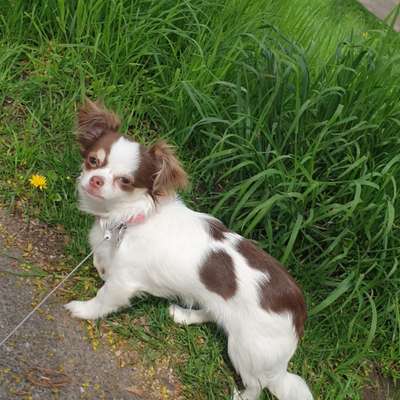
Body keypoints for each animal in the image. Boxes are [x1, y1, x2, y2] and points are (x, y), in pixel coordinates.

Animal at [65, 100, 314, 400]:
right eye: (93, 161)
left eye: (125, 181)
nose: (96, 180)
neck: (131, 218)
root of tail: (297, 314)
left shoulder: (123, 282)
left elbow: (103, 298)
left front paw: (83, 310)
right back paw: (185, 315)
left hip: (247, 349)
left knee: (257, 386)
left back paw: (239, 394)